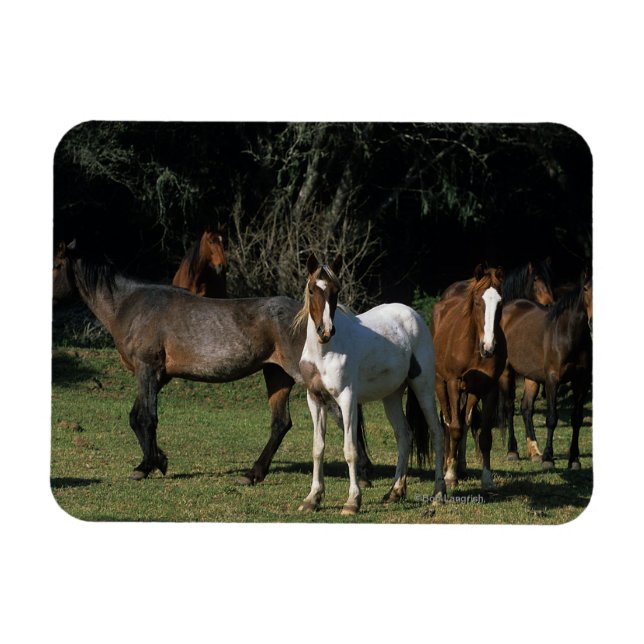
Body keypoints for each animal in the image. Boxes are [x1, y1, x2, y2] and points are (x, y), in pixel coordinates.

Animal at [53, 241, 372, 485]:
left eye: (55, 265)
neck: (131, 305)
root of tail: (316, 321)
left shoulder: (147, 370)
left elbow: (146, 418)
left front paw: (147, 466)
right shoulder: (158, 375)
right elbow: (136, 417)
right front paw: (156, 461)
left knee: (340, 414)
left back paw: (364, 474)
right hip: (276, 375)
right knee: (281, 423)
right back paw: (253, 474)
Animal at [294, 254, 445, 515]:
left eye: (335, 291)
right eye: (313, 290)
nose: (326, 331)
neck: (324, 351)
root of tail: (413, 315)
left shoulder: (347, 399)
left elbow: (350, 450)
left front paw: (352, 501)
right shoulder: (315, 399)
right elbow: (318, 448)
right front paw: (312, 498)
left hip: (423, 388)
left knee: (437, 433)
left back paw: (438, 493)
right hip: (391, 396)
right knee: (404, 435)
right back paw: (394, 492)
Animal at [431, 265, 506, 490]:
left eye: (501, 302)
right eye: (477, 302)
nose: (489, 347)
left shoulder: (489, 388)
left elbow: (485, 436)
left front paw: (487, 479)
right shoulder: (454, 383)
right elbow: (454, 427)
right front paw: (450, 476)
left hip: (472, 392)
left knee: (465, 421)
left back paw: (460, 465)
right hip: (441, 384)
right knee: (447, 422)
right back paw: (448, 465)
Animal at [499, 270, 592, 468]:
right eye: (587, 289)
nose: (593, 321)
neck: (568, 334)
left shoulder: (582, 382)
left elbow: (577, 419)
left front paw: (574, 460)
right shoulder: (552, 380)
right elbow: (551, 418)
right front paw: (549, 458)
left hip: (532, 376)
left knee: (526, 408)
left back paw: (535, 452)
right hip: (506, 372)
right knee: (510, 407)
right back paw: (513, 451)